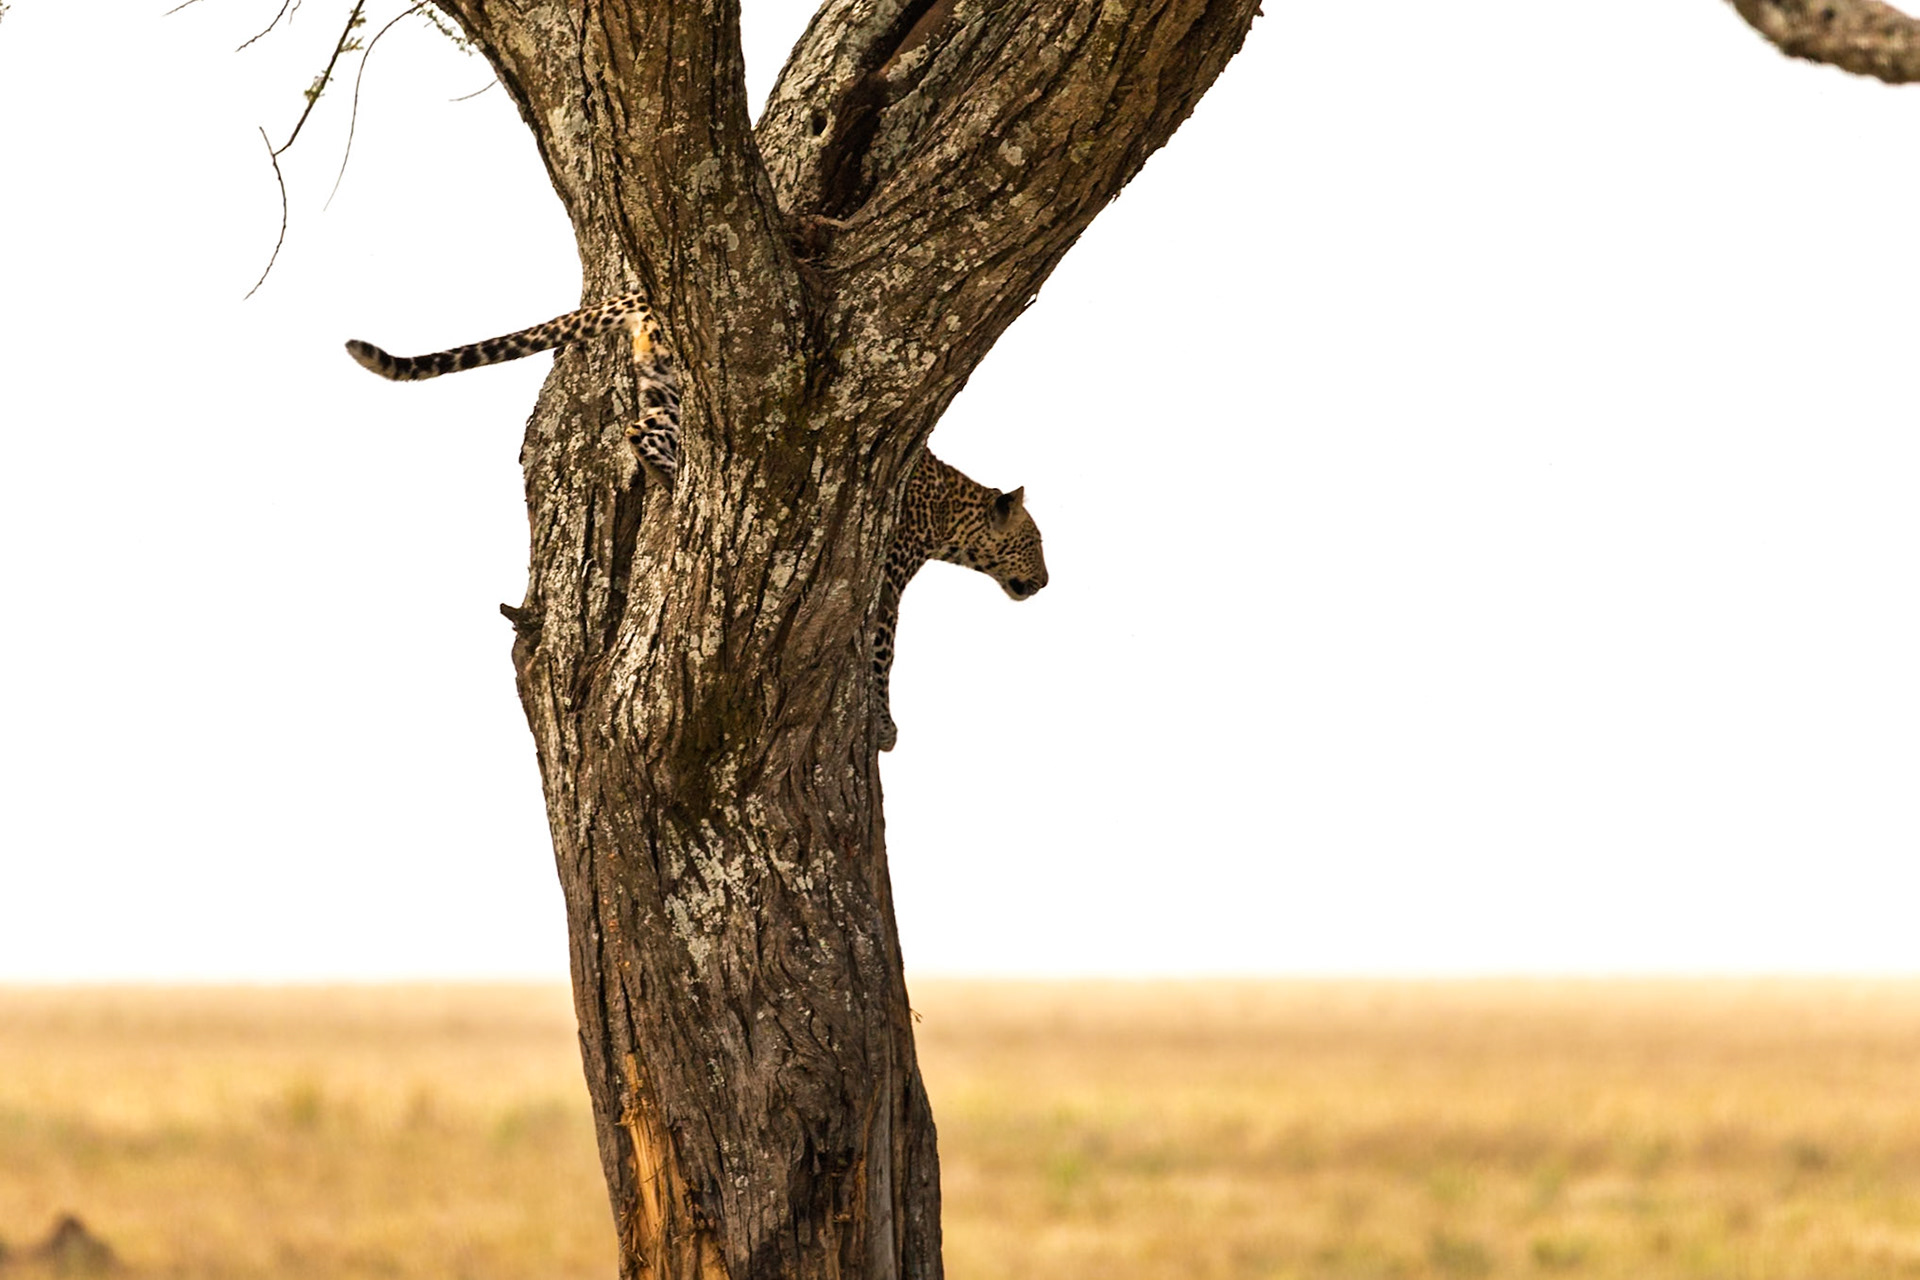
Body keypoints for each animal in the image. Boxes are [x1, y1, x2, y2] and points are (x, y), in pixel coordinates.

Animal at [344, 295, 1047, 751]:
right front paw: (884, 726)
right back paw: (674, 476)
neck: (951, 512)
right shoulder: (888, 579)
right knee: (643, 433)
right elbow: (884, 650)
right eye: (1034, 542)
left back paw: (669, 475)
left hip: (668, 385)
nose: (1044, 582)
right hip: (688, 380)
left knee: (637, 426)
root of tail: (636, 289)